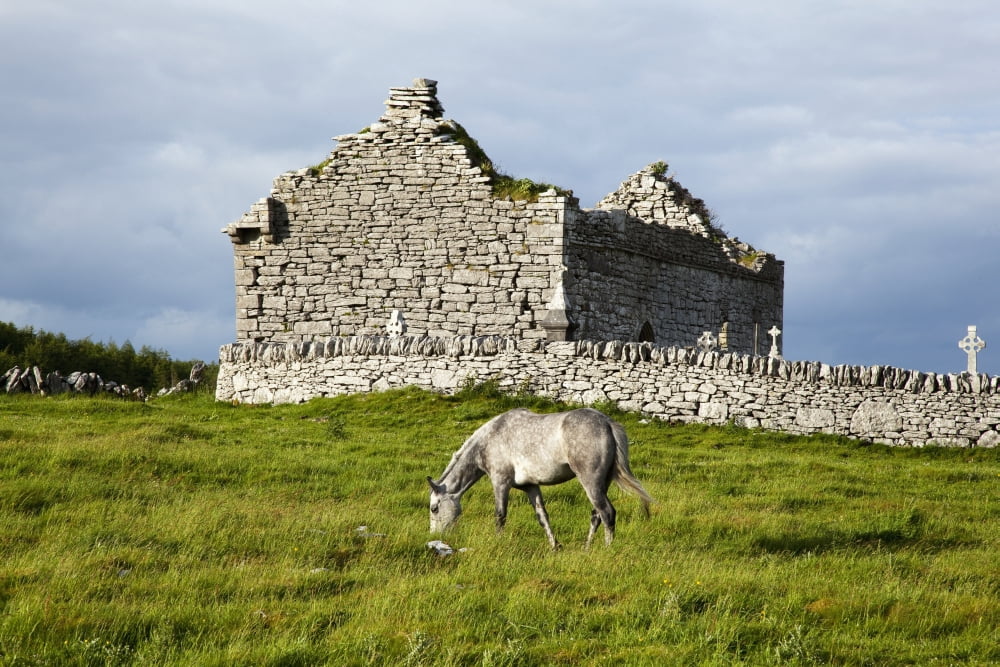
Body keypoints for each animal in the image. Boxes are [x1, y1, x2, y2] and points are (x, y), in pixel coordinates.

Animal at [427, 407, 653, 549]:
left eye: (434, 508)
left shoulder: (500, 482)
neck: (490, 439)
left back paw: (606, 549)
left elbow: (500, 516)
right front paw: (555, 546)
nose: (435, 536)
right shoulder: (531, 487)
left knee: (607, 513)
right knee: (596, 515)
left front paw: (497, 542)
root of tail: (607, 423)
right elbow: (542, 517)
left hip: (591, 482)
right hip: (602, 483)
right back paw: (586, 548)